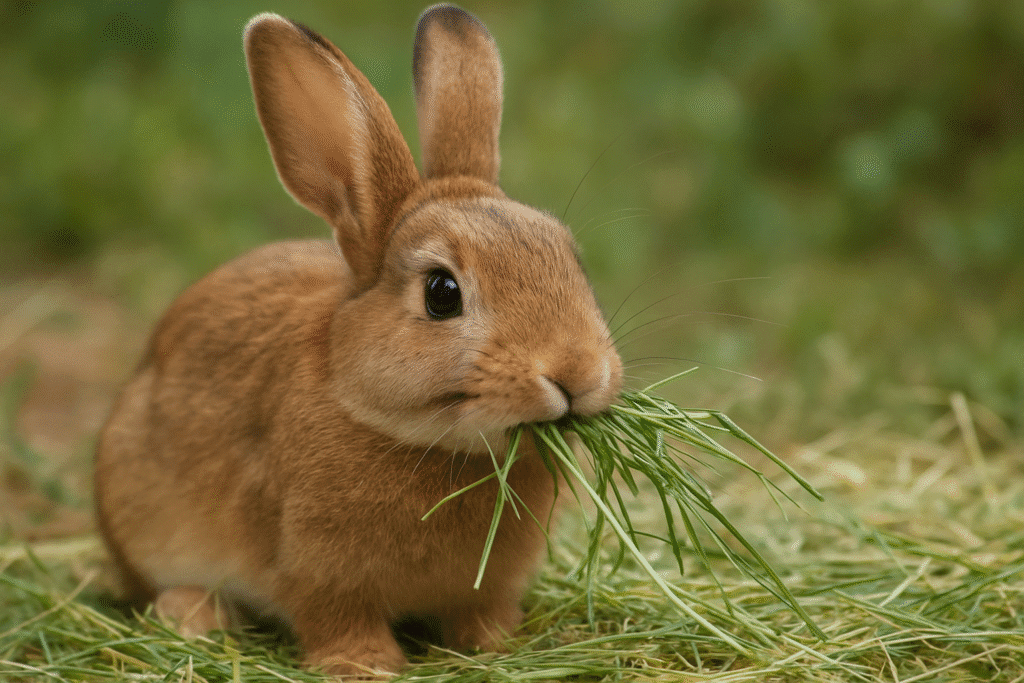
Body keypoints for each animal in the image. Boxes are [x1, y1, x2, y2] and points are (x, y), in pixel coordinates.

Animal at [94, 3, 622, 677]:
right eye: (441, 292)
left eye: (572, 260)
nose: (578, 373)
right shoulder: (316, 572)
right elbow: (335, 618)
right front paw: (364, 664)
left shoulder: (490, 584)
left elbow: (483, 612)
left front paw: (497, 644)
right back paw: (193, 614)